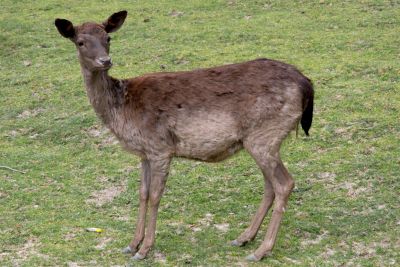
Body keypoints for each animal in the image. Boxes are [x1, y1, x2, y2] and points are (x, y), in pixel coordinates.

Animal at [54, 9, 314, 262]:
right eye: (80, 42)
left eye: (108, 38)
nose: (105, 61)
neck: (122, 111)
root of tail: (306, 83)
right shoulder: (144, 153)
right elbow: (142, 193)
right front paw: (131, 244)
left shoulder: (160, 147)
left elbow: (156, 195)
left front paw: (144, 249)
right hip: (261, 141)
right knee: (270, 185)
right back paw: (244, 238)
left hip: (264, 135)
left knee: (284, 183)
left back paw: (261, 250)